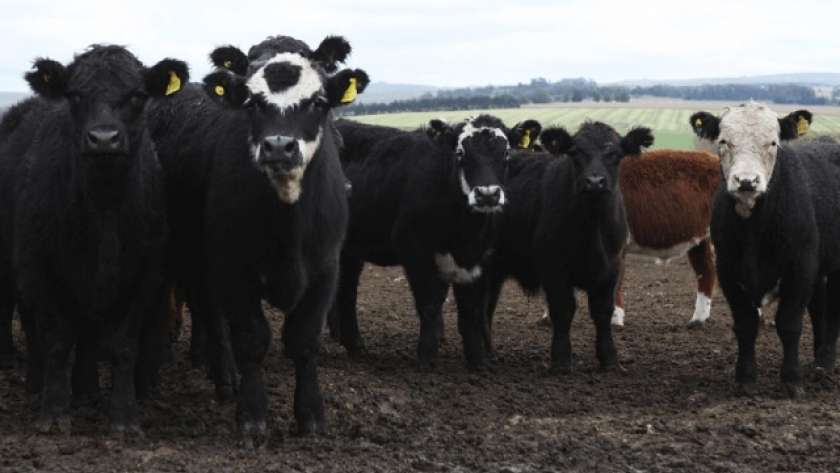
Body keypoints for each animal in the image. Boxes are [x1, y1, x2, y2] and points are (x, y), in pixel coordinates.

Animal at [0, 44, 188, 434]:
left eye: (138, 95)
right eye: (74, 95)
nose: (103, 138)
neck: (104, 212)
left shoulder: (145, 274)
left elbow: (123, 345)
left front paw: (124, 417)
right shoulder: (40, 269)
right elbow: (56, 340)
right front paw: (54, 414)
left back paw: (86, 391)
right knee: (31, 326)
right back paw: (35, 384)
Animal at [149, 35, 369, 445]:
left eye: (319, 102)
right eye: (251, 102)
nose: (279, 146)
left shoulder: (325, 268)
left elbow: (304, 340)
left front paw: (310, 415)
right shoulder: (232, 270)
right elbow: (250, 338)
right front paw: (251, 415)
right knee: (209, 314)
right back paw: (223, 376)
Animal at [332, 115, 541, 369]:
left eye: (506, 152)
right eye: (460, 153)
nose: (487, 194)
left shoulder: (479, 257)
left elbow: (472, 309)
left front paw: (478, 360)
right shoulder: (414, 249)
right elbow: (430, 302)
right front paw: (427, 357)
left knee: (347, 288)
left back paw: (356, 346)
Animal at [481, 121, 654, 373]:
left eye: (614, 154)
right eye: (575, 153)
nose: (594, 182)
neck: (592, 228)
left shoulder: (612, 268)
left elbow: (603, 311)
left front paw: (610, 359)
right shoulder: (554, 269)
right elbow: (563, 310)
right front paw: (561, 360)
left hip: (495, 269)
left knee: (488, 305)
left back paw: (490, 352)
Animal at [691, 102, 840, 397]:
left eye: (773, 142)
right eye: (723, 141)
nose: (747, 181)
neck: (754, 233)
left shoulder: (800, 268)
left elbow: (789, 323)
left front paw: (791, 380)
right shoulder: (728, 270)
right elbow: (745, 324)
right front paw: (746, 378)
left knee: (833, 312)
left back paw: (825, 362)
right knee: (819, 309)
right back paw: (817, 357)